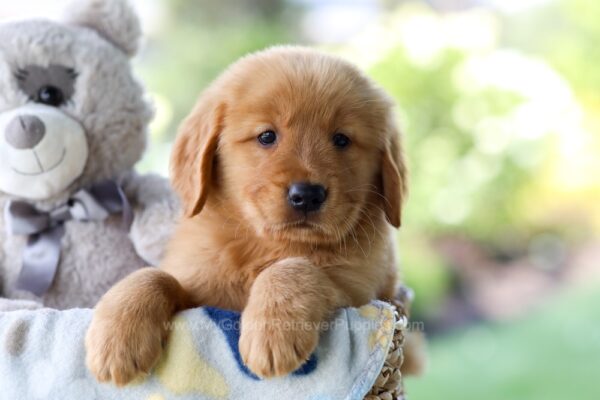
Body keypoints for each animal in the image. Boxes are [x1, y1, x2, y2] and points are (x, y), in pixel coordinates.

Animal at [84, 46, 410, 384]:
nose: (307, 195)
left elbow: (293, 268)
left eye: (342, 139)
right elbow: (154, 276)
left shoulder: (360, 291)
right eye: (266, 136)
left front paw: (272, 332)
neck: (261, 245)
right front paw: (116, 339)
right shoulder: (200, 287)